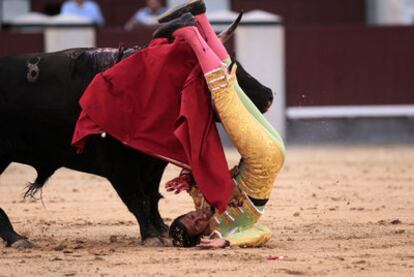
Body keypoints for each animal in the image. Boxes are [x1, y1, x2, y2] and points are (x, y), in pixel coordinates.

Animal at [0, 45, 274, 246]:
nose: (269, 95)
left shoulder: (152, 163)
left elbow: (152, 196)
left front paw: (160, 229)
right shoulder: (120, 168)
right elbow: (138, 199)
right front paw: (151, 236)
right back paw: (16, 239)